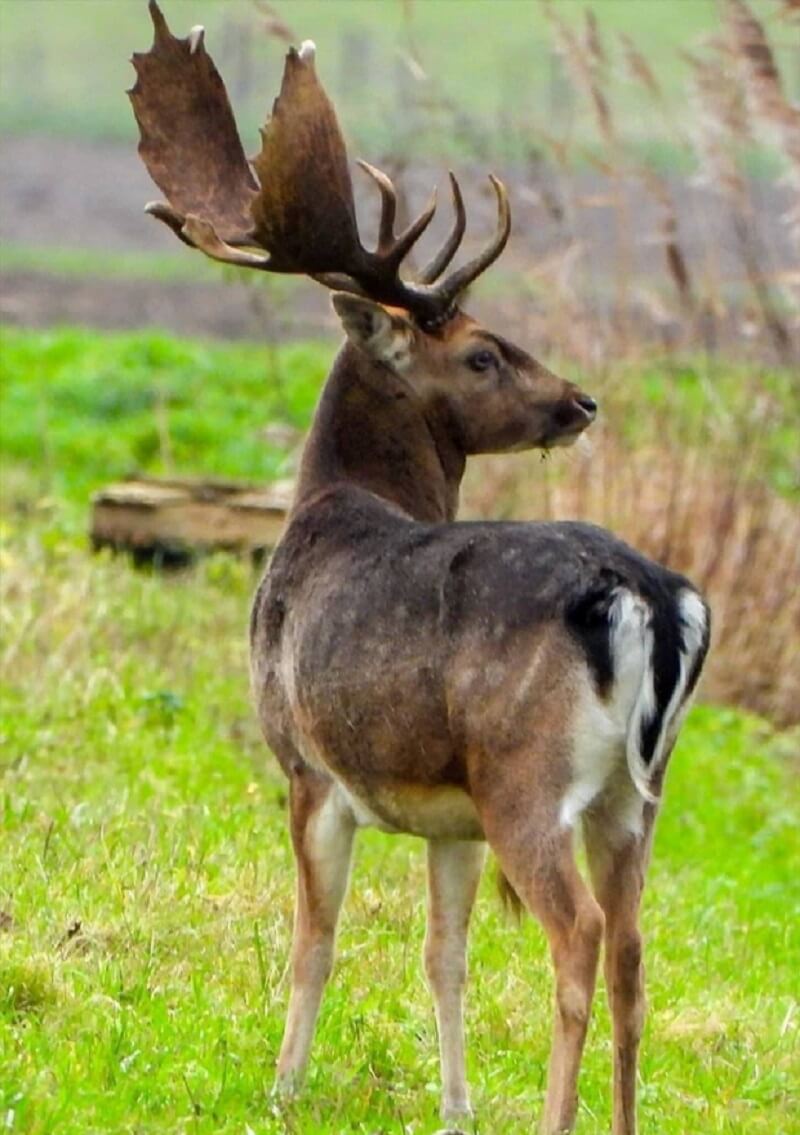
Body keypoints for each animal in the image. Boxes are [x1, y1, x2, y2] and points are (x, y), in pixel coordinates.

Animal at [131, 4, 712, 1130]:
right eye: (483, 351)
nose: (578, 401)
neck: (328, 507)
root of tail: (649, 599)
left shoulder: (305, 760)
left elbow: (314, 941)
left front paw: (281, 1087)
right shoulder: (449, 814)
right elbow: (444, 955)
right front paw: (454, 1106)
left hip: (526, 774)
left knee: (577, 936)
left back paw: (557, 1115)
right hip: (633, 792)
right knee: (630, 947)